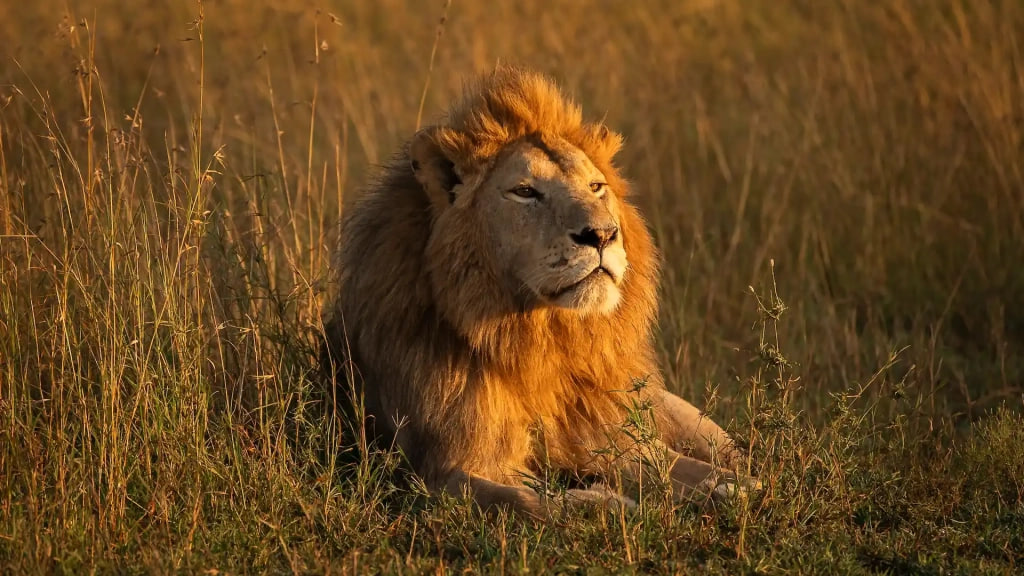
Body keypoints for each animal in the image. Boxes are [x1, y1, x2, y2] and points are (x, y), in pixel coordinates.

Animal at [323, 67, 756, 517]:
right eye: (526, 192)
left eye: (596, 186)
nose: (602, 234)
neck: (542, 341)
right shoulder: (438, 474)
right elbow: (529, 501)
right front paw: (604, 502)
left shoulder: (617, 440)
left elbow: (688, 471)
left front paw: (729, 488)